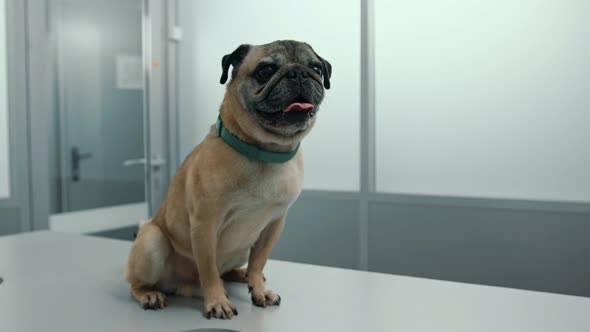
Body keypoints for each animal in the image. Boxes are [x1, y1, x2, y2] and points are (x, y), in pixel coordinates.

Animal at [125, 40, 332, 320]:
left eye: (316, 68)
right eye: (265, 71)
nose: (299, 73)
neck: (265, 151)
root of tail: (183, 285)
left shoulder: (273, 226)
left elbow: (258, 262)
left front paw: (258, 290)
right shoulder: (205, 225)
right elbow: (209, 271)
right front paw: (217, 301)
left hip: (242, 247)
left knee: (233, 268)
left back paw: (240, 274)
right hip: (151, 242)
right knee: (138, 281)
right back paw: (149, 294)